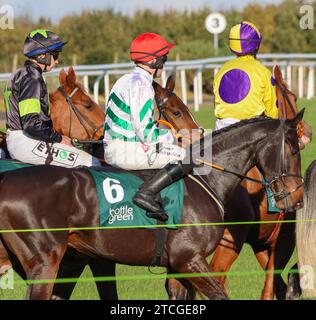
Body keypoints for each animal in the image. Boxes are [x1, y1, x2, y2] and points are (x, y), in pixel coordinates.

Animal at [0, 108, 304, 300]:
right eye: (293, 149)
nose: (297, 198)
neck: (205, 179)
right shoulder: (188, 259)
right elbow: (220, 294)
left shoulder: (178, 266)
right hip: (44, 262)